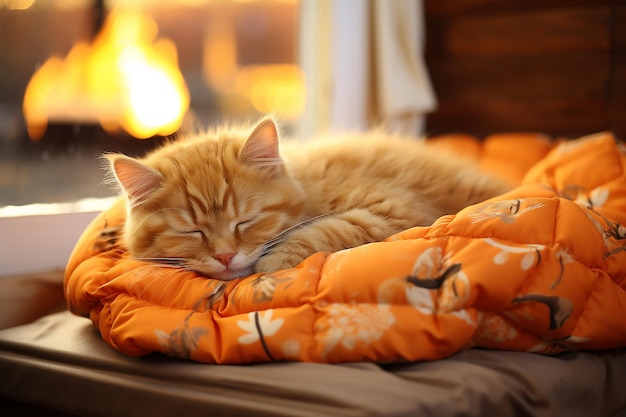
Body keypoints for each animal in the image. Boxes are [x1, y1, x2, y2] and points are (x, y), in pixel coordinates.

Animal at [105, 116, 510, 280]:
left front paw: (271, 265)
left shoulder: (392, 209)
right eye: (193, 232)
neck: (307, 185)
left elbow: (321, 231)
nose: (225, 257)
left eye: (245, 221)